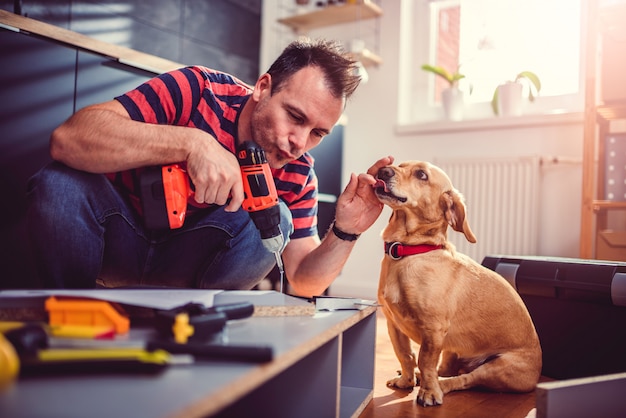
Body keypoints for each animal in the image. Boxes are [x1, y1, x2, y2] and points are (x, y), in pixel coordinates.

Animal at [372, 161, 540, 408]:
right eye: (400, 165)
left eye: (421, 174)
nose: (383, 171)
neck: (409, 252)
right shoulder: (394, 324)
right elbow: (406, 355)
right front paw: (406, 381)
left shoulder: (433, 329)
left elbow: (424, 360)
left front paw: (429, 393)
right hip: (451, 350)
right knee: (446, 369)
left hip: (498, 367)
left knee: (463, 379)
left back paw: (440, 386)